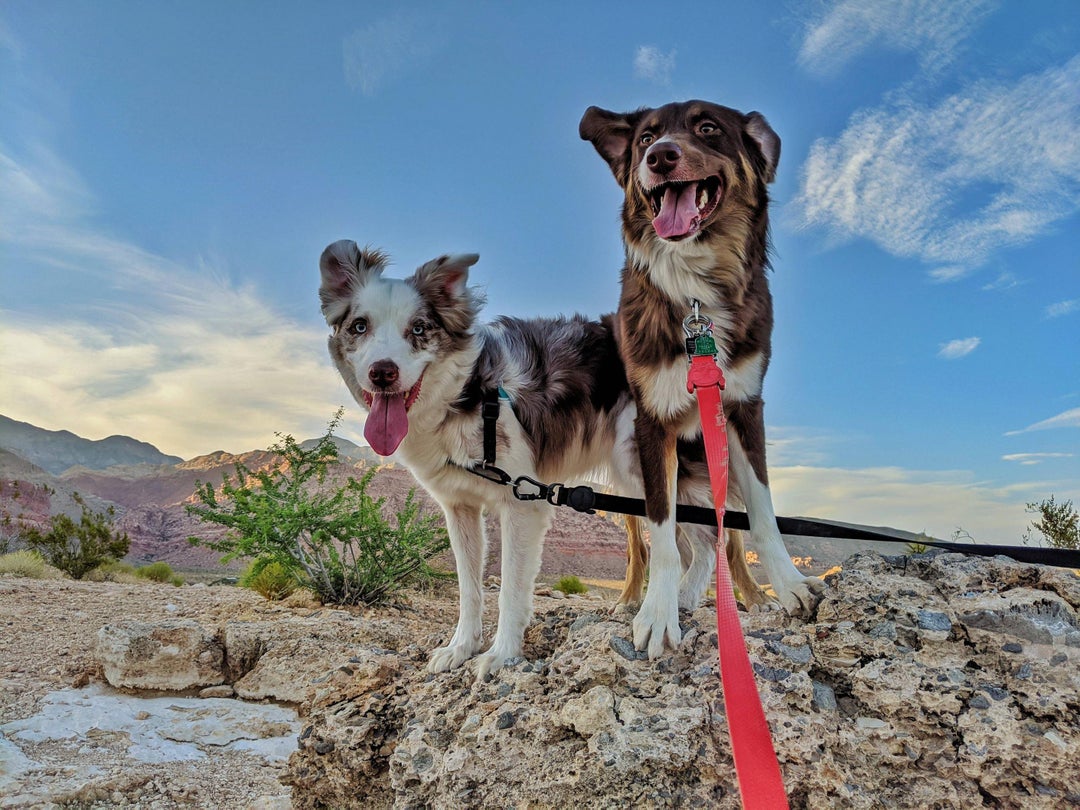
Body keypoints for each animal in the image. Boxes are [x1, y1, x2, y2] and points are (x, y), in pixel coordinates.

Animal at [583, 101, 825, 660]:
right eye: (645, 137)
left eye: (708, 127)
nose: (659, 156)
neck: (696, 296)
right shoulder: (652, 423)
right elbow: (662, 535)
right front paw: (656, 615)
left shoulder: (743, 407)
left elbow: (762, 515)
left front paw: (788, 585)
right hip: (629, 456)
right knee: (671, 541)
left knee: (711, 540)